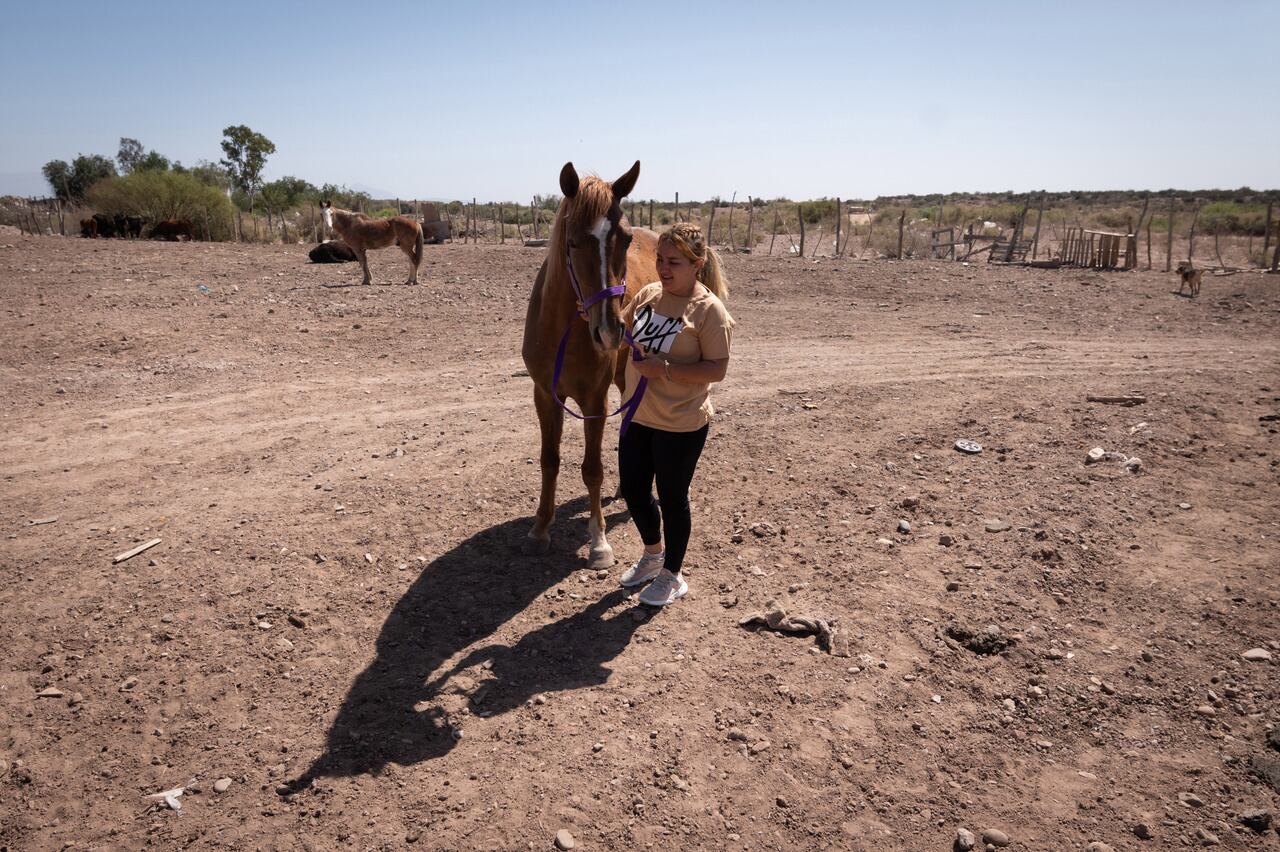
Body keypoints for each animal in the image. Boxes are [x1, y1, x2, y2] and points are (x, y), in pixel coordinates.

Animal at [519, 162, 660, 568]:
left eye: (625, 239)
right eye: (572, 241)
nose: (611, 330)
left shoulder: (594, 400)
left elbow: (591, 469)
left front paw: (598, 542)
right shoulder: (544, 396)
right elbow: (549, 460)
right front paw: (540, 529)